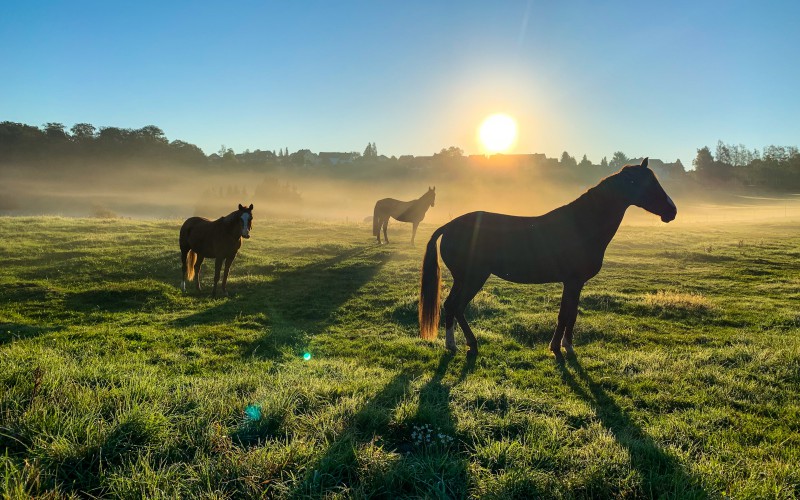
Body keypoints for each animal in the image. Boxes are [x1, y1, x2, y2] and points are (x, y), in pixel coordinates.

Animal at [418, 160, 676, 360]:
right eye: (646, 183)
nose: (672, 211)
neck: (581, 224)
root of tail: (450, 226)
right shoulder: (573, 281)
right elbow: (565, 315)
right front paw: (561, 348)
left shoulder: (574, 283)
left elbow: (570, 313)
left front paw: (564, 345)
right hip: (473, 277)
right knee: (456, 306)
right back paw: (463, 344)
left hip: (465, 278)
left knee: (452, 306)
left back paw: (459, 344)